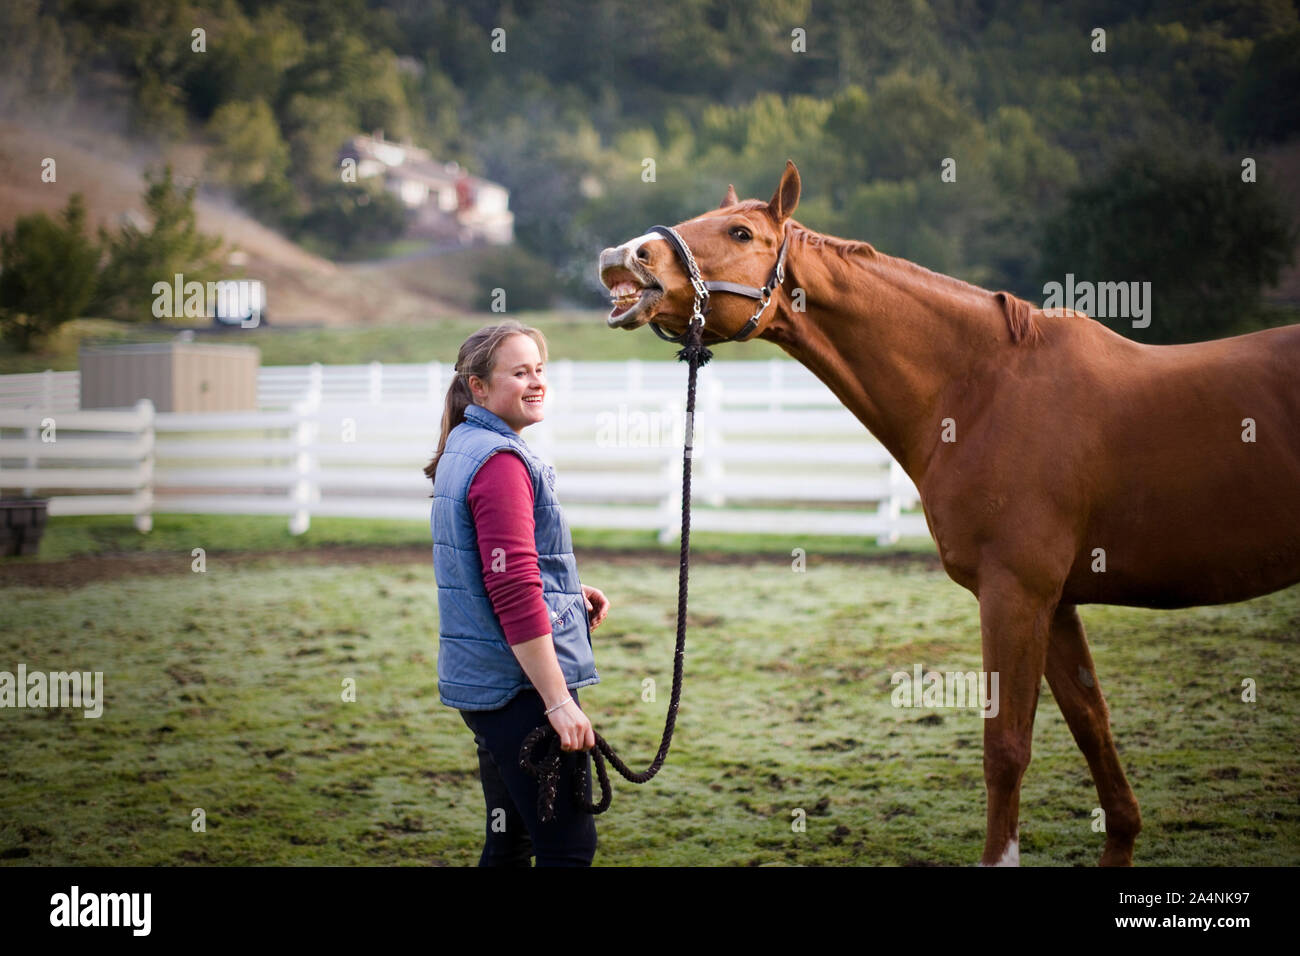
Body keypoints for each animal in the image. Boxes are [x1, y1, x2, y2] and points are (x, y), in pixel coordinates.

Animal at [596, 161, 1300, 866]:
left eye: (740, 232)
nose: (621, 258)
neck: (982, 389)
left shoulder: (1015, 595)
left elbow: (1006, 749)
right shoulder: (1057, 604)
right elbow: (1092, 726)